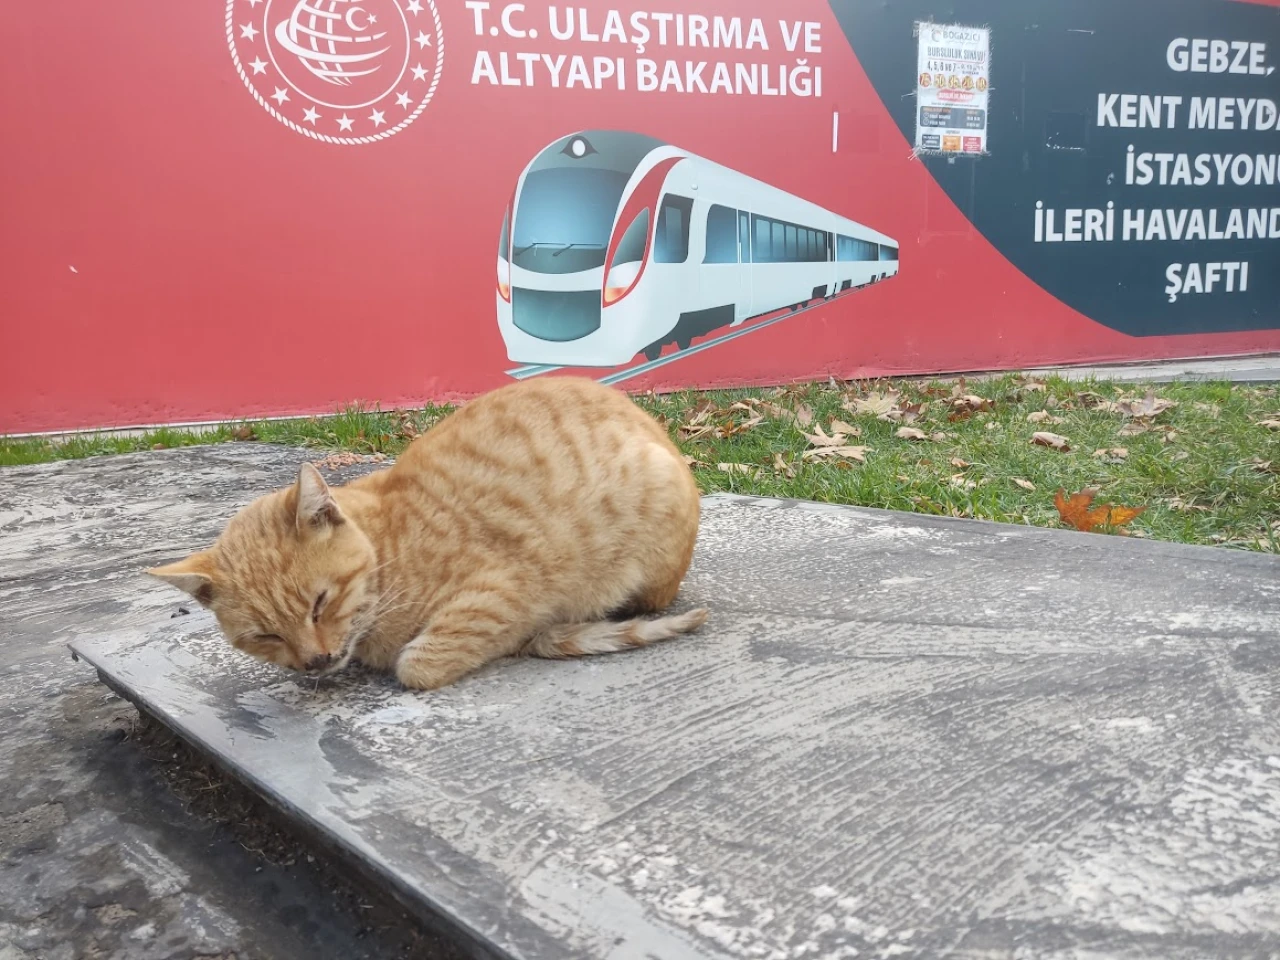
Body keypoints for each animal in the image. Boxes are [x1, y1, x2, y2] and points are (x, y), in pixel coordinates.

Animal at [152, 376, 711, 691]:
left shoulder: (509, 589)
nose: (315, 661)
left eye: (320, 603)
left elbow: (418, 664)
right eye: (265, 635)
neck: (389, 547)